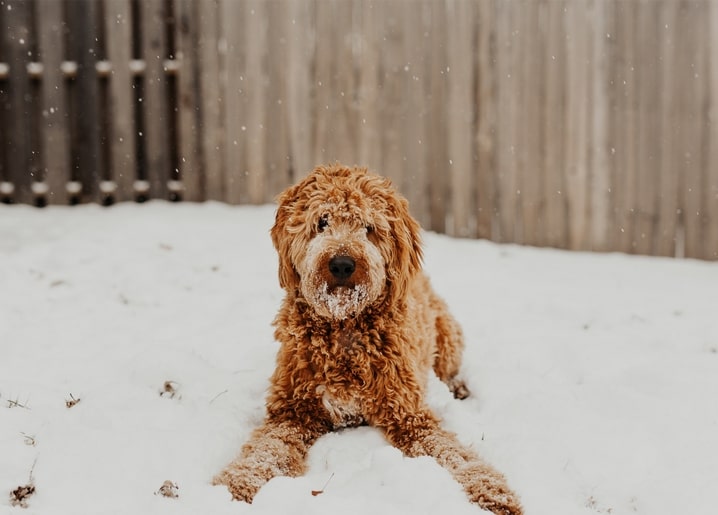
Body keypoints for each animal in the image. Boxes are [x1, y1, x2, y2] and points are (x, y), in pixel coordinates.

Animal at [214, 165, 524, 515]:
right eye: (322, 221)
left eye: (368, 227)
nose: (342, 264)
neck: (345, 328)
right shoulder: (291, 411)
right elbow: (266, 451)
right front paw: (236, 484)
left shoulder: (410, 416)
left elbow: (453, 454)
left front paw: (492, 491)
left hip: (447, 336)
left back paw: (457, 387)